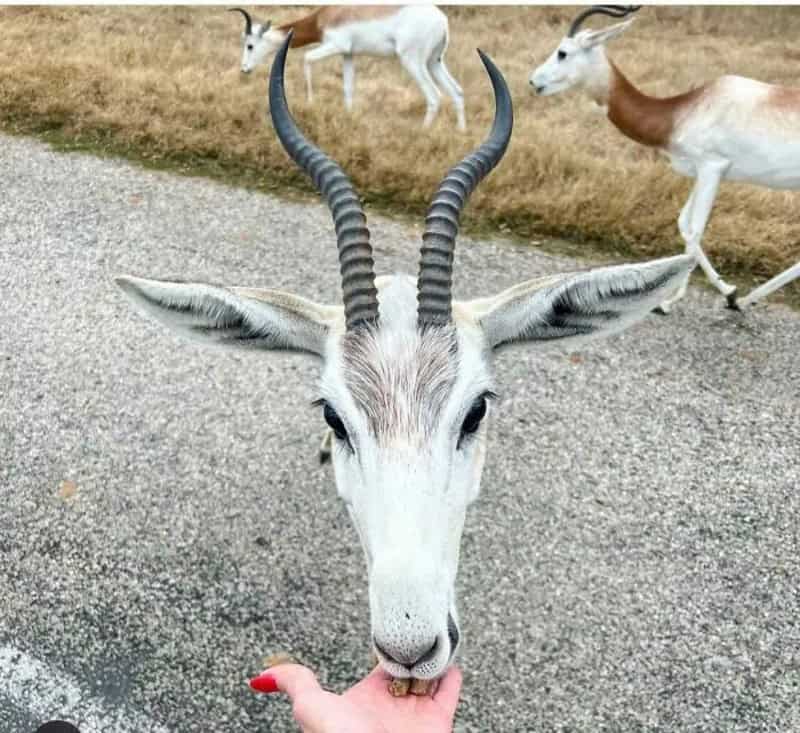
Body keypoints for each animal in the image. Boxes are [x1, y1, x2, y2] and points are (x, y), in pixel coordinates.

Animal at [228, 5, 466, 131]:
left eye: (249, 45)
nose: (244, 69)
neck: (328, 15)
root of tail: (442, 21)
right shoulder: (348, 54)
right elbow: (348, 88)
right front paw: (349, 117)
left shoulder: (336, 46)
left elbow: (306, 59)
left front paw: (310, 104)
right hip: (434, 62)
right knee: (457, 92)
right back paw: (461, 133)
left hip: (412, 61)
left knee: (434, 96)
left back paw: (421, 132)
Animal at [530, 5, 800, 311]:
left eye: (562, 52)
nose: (534, 81)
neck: (679, 112)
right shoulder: (701, 172)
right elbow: (683, 224)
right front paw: (724, 292)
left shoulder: (712, 168)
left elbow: (694, 231)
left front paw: (684, 298)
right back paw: (745, 299)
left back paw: (742, 299)